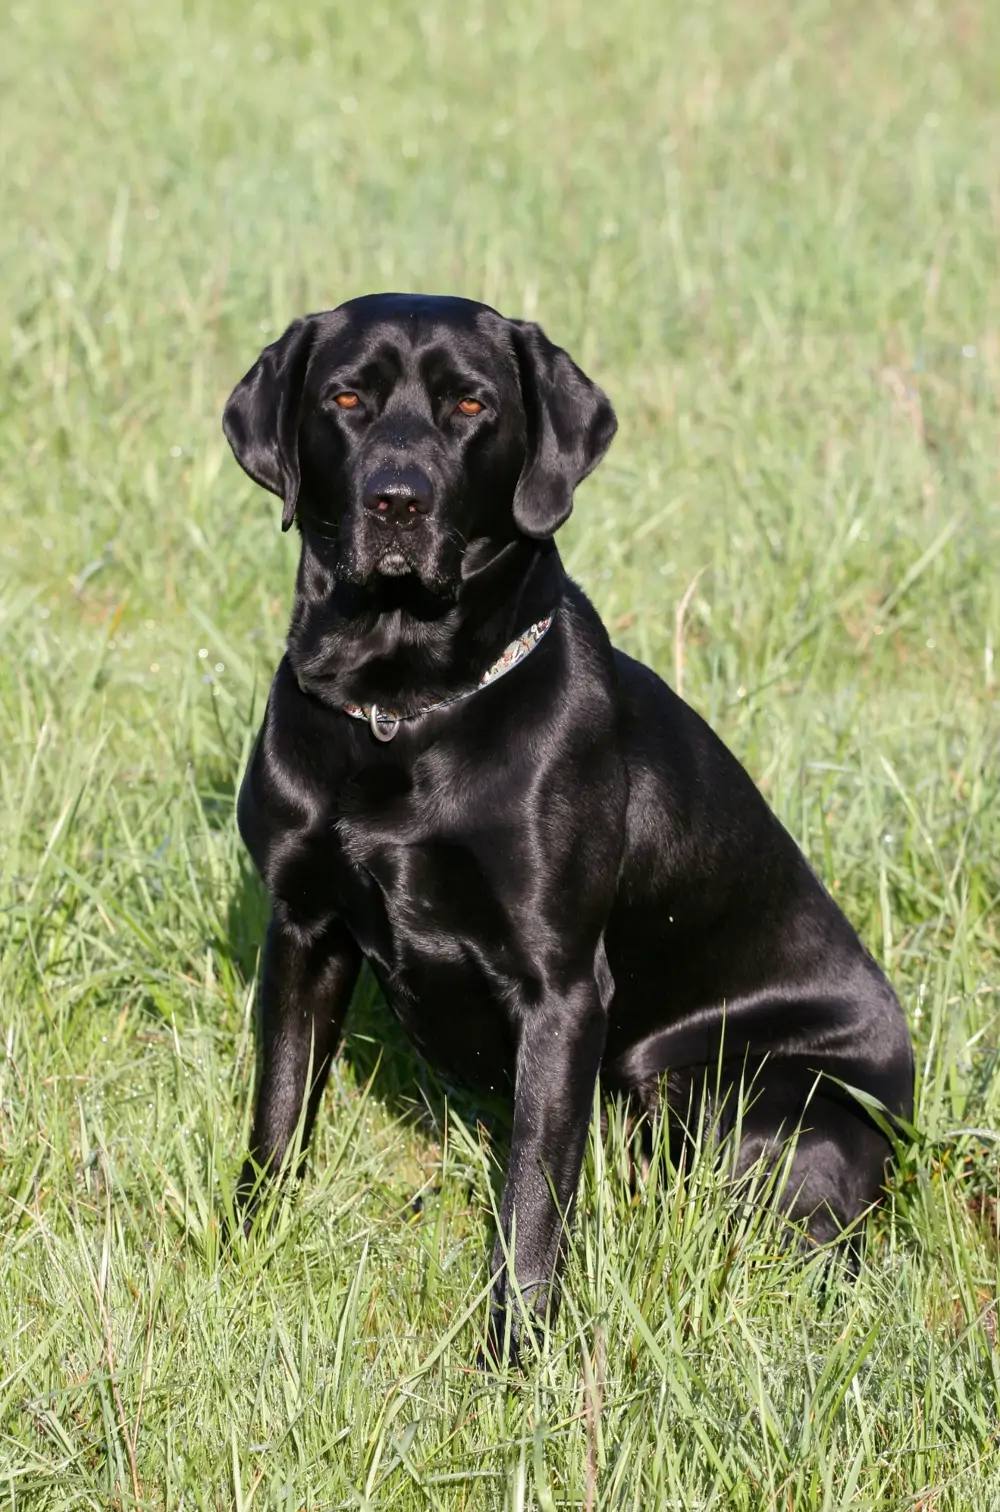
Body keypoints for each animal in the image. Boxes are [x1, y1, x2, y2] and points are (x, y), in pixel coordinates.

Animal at [223, 291, 913, 1360]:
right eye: (345, 397)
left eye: (471, 404)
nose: (395, 499)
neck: (403, 707)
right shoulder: (302, 929)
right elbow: (280, 1110)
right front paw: (247, 1251)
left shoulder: (563, 990)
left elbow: (533, 1193)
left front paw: (515, 1356)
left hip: (744, 1099)